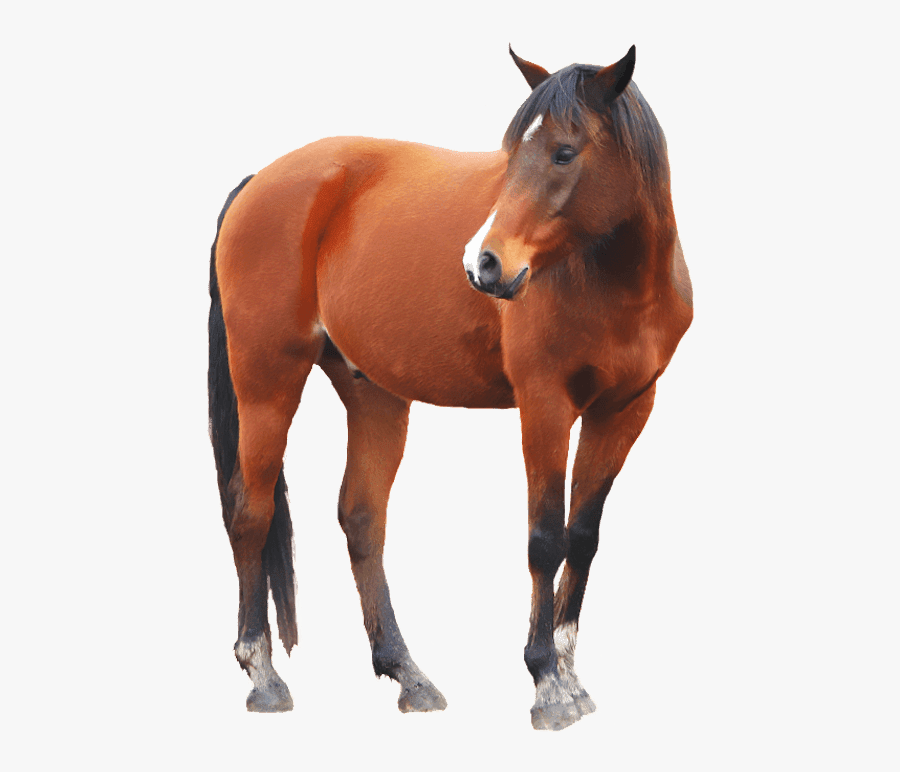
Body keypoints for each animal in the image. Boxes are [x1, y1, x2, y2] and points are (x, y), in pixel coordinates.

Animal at [208, 44, 692, 731]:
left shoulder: (624, 411)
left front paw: (570, 672)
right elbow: (545, 538)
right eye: (512, 152)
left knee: (362, 518)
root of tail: (258, 181)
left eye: (564, 152)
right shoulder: (545, 407)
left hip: (373, 392)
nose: (483, 264)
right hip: (267, 378)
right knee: (250, 511)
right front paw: (547, 682)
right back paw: (264, 675)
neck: (610, 281)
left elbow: (583, 536)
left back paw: (407, 674)